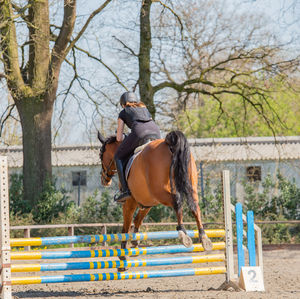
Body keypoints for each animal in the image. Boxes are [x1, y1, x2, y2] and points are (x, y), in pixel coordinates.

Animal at [97, 131, 212, 260]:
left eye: (101, 154)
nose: (104, 180)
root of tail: (170, 143)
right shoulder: (147, 202)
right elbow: (138, 219)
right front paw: (135, 241)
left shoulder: (129, 202)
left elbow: (126, 225)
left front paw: (123, 253)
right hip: (190, 187)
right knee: (195, 207)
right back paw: (203, 237)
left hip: (161, 193)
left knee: (177, 201)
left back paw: (182, 233)